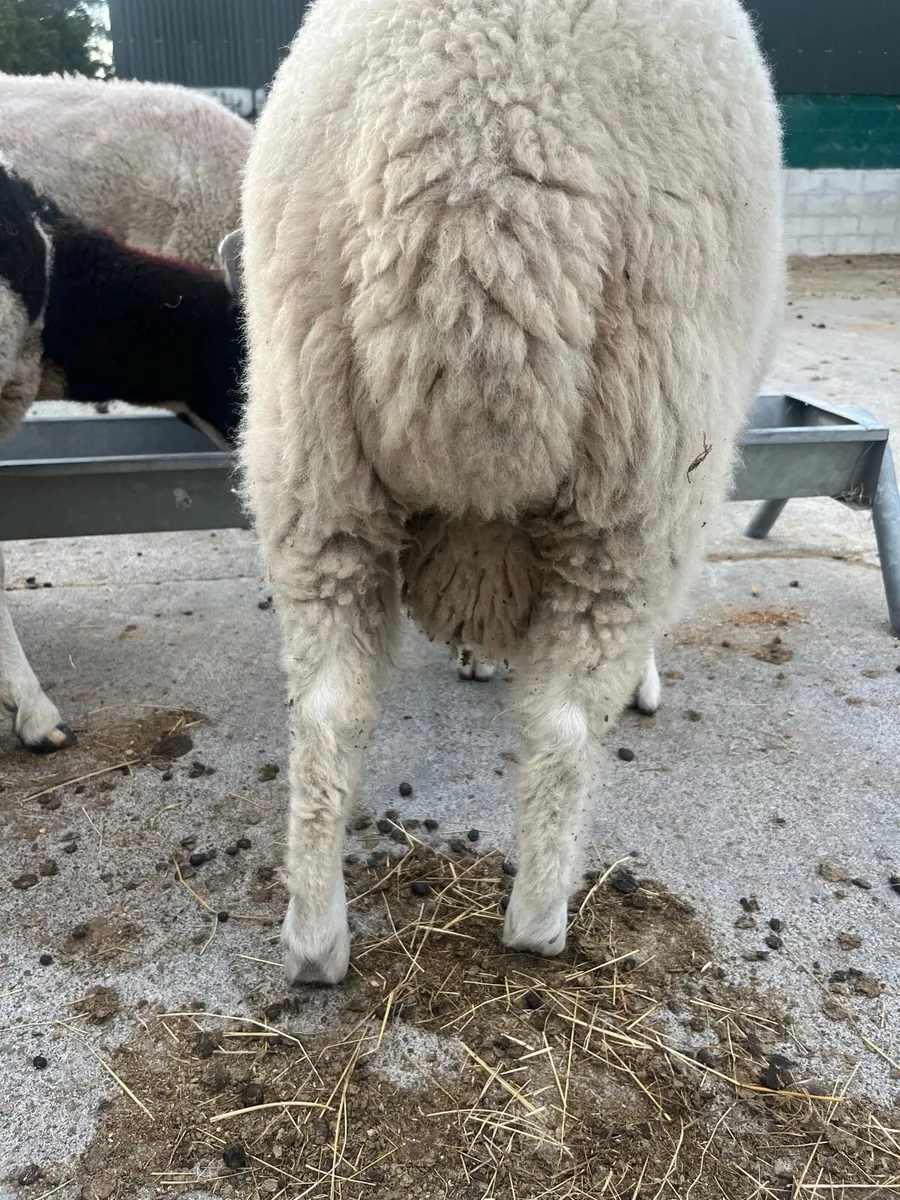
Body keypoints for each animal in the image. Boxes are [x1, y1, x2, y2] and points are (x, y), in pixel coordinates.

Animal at [238, 0, 784, 984]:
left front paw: (475, 657)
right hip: (642, 460)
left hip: (311, 445)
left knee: (328, 709)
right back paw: (540, 922)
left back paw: (315, 941)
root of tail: (476, 152)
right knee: (565, 726)